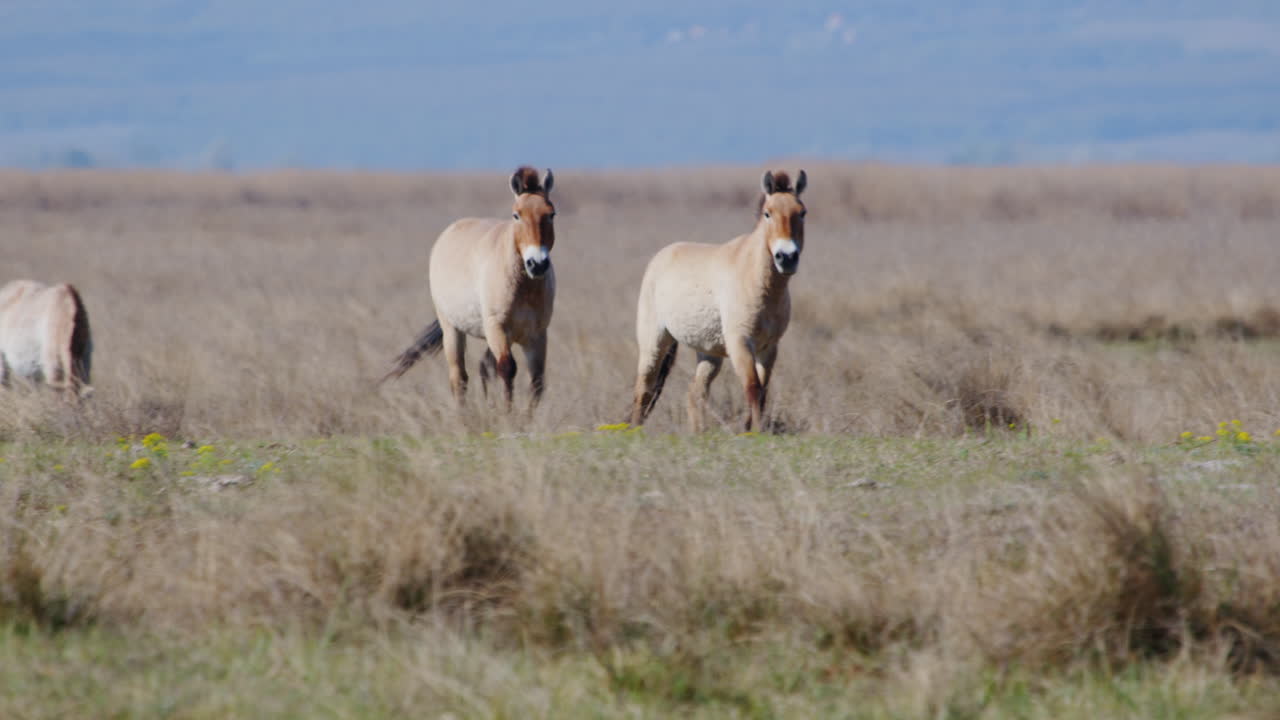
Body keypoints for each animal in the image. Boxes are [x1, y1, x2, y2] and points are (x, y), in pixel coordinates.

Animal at [381, 166, 557, 412]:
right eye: (516, 215)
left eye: (551, 214)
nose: (537, 263)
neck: (524, 287)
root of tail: (449, 232)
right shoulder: (497, 327)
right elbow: (507, 369)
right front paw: (508, 415)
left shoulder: (537, 335)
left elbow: (537, 381)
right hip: (453, 330)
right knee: (460, 378)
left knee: (483, 367)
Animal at [630, 169, 807, 432]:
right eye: (768, 213)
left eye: (802, 212)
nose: (786, 257)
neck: (758, 282)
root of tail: (660, 256)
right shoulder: (739, 342)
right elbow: (752, 387)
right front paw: (755, 432)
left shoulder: (769, 347)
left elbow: (763, 389)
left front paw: (751, 428)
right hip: (654, 341)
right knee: (644, 389)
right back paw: (635, 430)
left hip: (708, 354)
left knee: (695, 392)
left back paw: (699, 433)